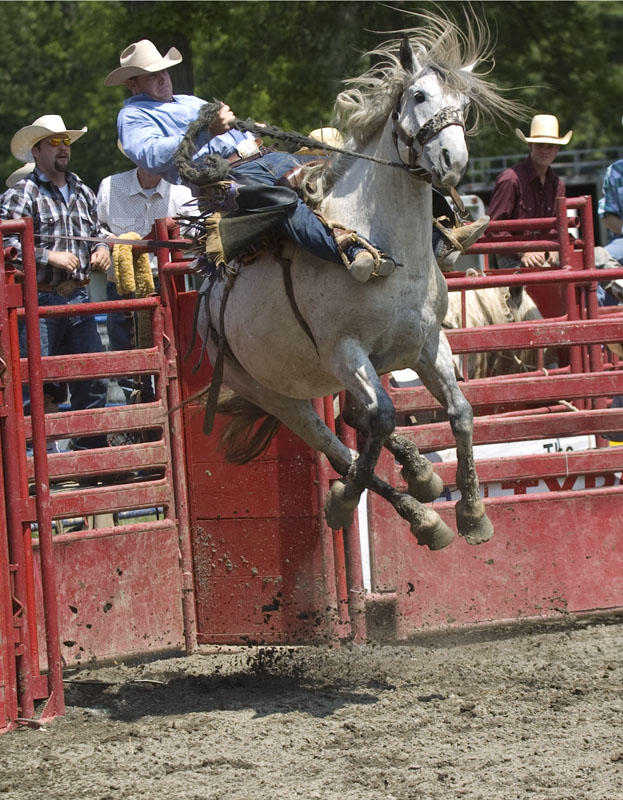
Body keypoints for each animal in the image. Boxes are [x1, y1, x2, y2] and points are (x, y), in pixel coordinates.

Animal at [193, 12, 520, 552]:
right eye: (419, 95)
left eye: (465, 103)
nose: (452, 160)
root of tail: (206, 305)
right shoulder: (346, 353)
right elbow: (382, 420)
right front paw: (348, 502)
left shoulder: (428, 343)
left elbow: (460, 412)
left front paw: (473, 513)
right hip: (278, 394)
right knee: (338, 443)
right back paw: (413, 515)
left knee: (355, 422)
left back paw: (423, 479)